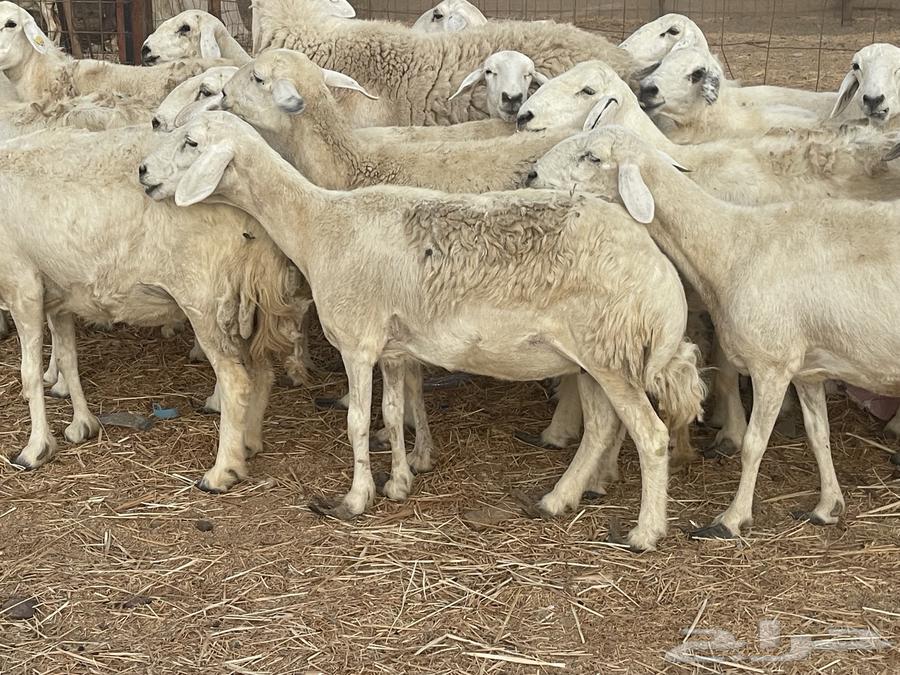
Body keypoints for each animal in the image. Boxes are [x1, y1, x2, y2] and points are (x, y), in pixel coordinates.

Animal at [0, 124, 298, 492]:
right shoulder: (59, 293)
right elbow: (69, 360)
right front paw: (83, 424)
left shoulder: (21, 285)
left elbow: (29, 374)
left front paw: (35, 449)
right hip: (244, 301)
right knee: (262, 373)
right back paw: (248, 444)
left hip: (205, 299)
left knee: (236, 381)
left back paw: (222, 471)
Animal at [140, 110, 705, 551]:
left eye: (192, 143)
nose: (142, 170)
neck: (319, 225)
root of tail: (660, 276)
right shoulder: (392, 348)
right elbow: (393, 415)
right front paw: (399, 484)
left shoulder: (358, 341)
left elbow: (357, 422)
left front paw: (355, 499)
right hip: (593, 358)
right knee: (602, 428)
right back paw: (555, 500)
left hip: (610, 353)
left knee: (651, 436)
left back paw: (645, 532)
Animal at [531, 124, 900, 539]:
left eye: (592, 156)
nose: (531, 174)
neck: (731, 245)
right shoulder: (808, 369)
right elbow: (819, 435)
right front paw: (827, 507)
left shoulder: (771, 365)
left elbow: (754, 444)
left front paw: (732, 519)